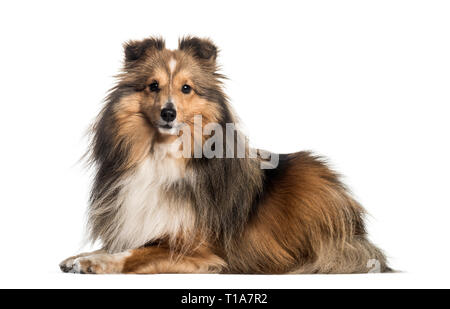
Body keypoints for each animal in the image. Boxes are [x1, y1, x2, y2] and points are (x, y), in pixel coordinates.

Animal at [59, 36, 390, 274]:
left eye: (187, 88)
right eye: (153, 86)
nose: (168, 113)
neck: (163, 155)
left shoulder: (197, 249)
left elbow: (135, 253)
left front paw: (95, 263)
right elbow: (118, 245)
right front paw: (80, 256)